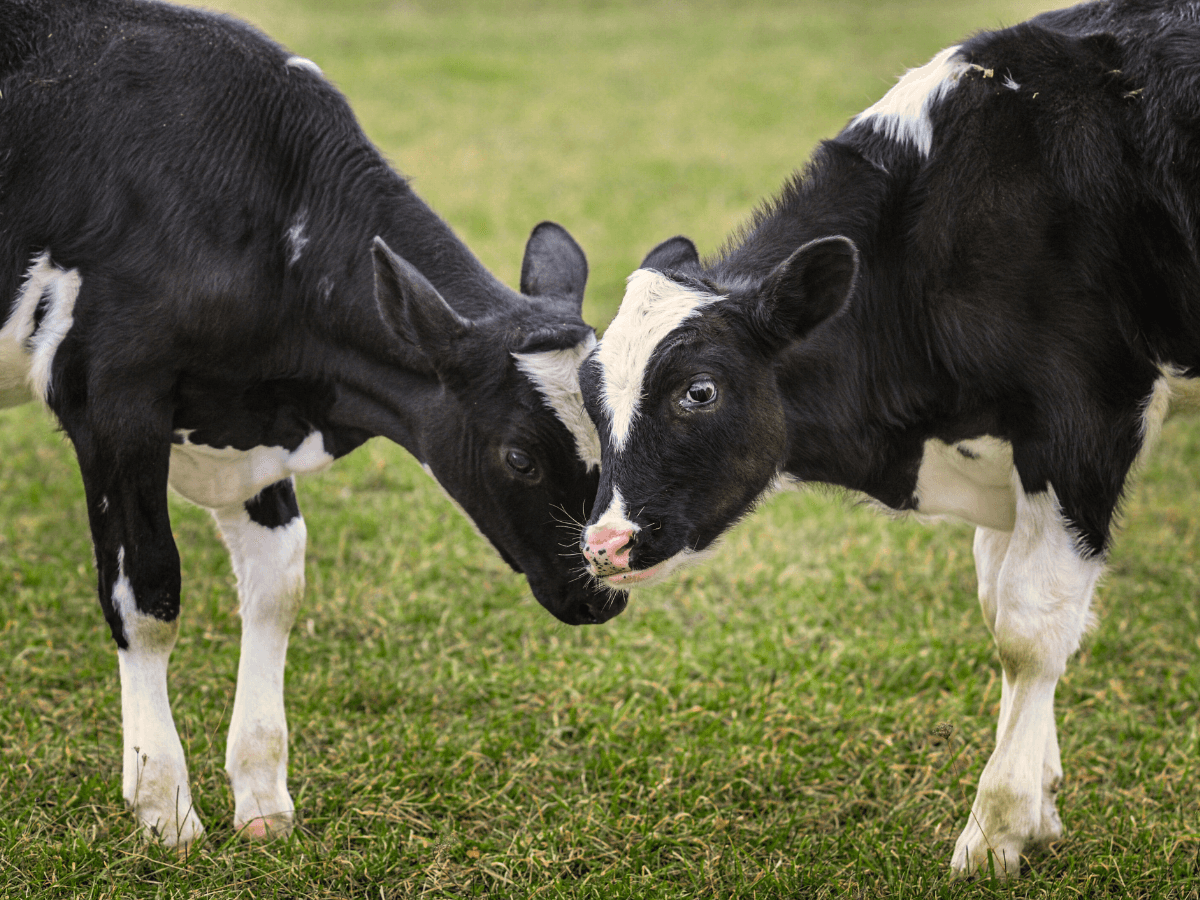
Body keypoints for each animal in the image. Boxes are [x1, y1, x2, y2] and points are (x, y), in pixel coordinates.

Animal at [0, 0, 614, 854]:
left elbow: (277, 584)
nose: (602, 595)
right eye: (519, 456)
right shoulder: (111, 397)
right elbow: (146, 594)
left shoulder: (245, 423)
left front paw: (261, 798)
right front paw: (165, 806)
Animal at [576, 0, 1200, 883]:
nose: (605, 543)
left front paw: (999, 827)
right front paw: (1040, 802)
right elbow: (1002, 609)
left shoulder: (1088, 419)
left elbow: (1030, 629)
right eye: (589, 396)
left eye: (699, 392)